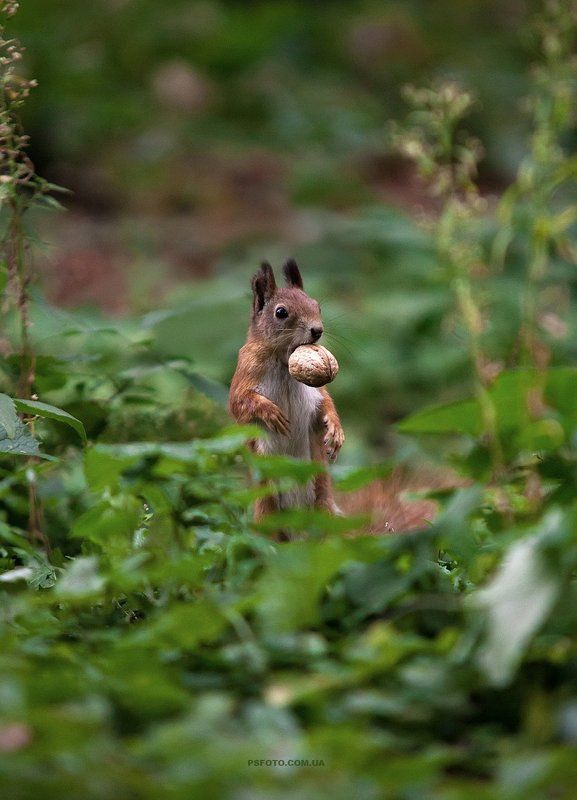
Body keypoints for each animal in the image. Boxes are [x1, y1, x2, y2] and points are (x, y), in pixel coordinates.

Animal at [229, 259, 345, 522]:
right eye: (281, 312)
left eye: (317, 305)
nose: (317, 330)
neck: (284, 361)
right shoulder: (246, 371)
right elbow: (239, 402)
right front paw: (270, 412)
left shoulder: (316, 392)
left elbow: (327, 404)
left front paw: (336, 431)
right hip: (266, 506)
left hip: (323, 499)